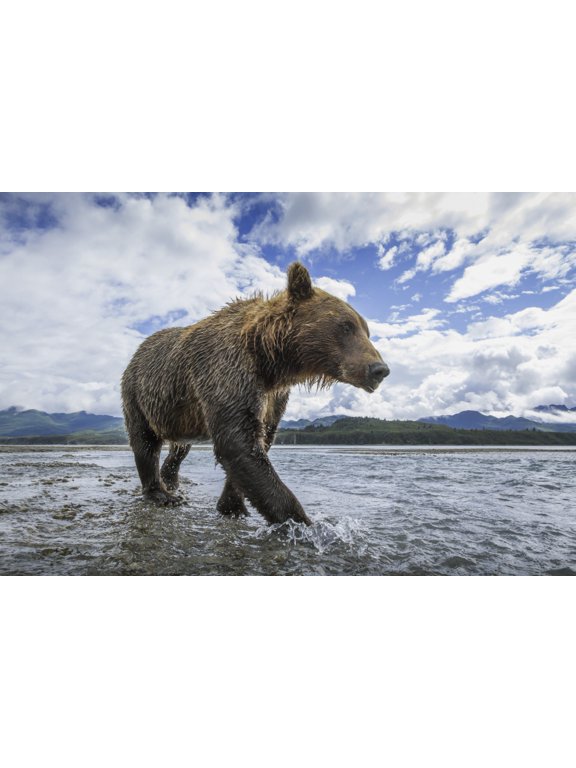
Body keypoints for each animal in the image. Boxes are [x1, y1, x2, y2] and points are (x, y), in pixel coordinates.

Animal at [121, 262, 389, 526]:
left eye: (366, 331)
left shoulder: (273, 396)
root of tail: (138, 351)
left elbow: (261, 438)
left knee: (179, 447)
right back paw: (161, 494)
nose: (379, 369)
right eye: (346, 326)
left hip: (178, 414)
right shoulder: (227, 370)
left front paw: (232, 506)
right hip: (138, 393)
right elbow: (238, 441)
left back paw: (171, 479)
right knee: (145, 442)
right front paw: (304, 524)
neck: (269, 358)